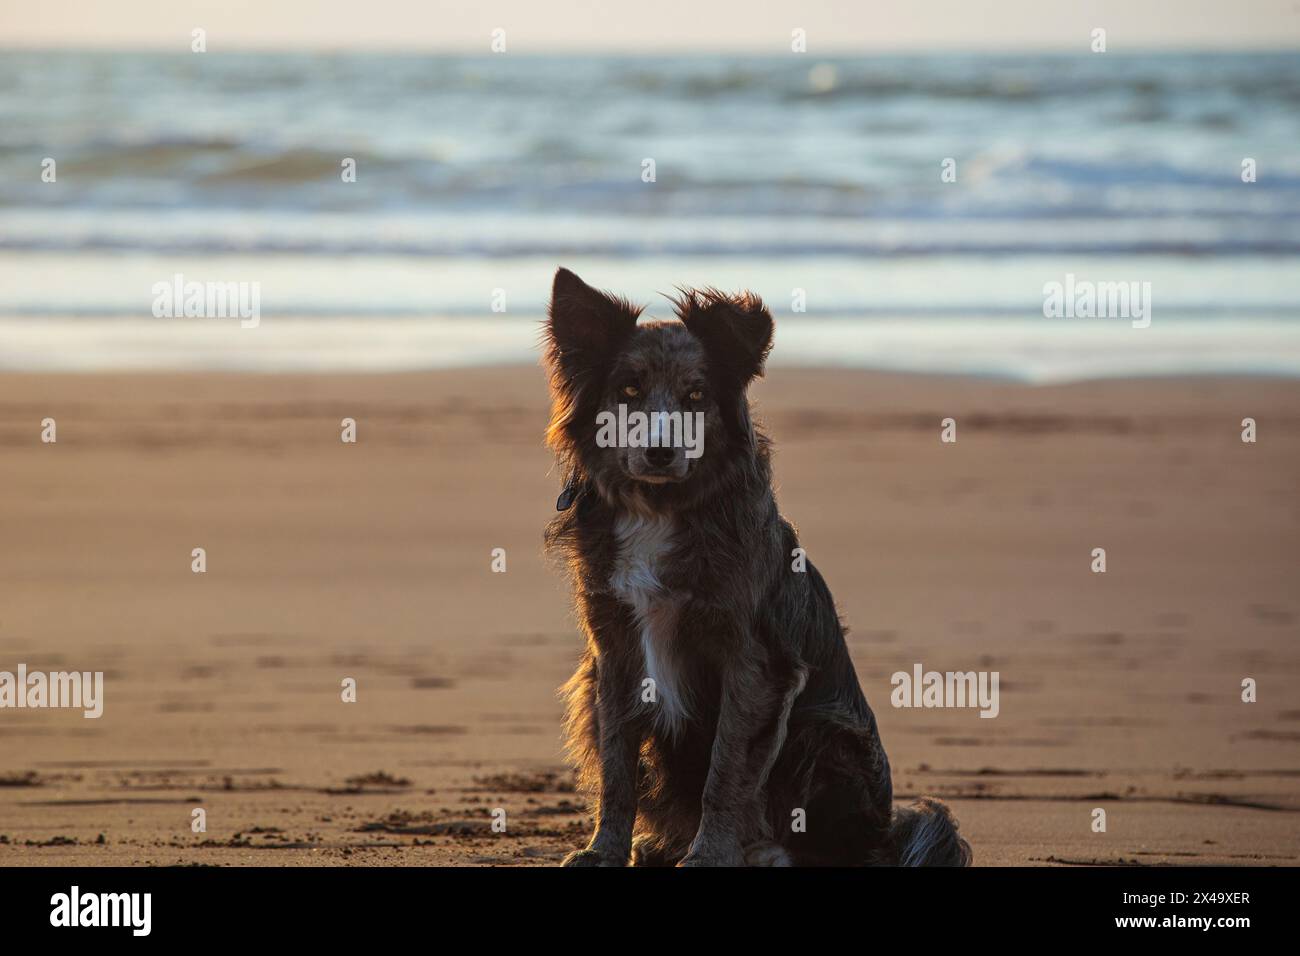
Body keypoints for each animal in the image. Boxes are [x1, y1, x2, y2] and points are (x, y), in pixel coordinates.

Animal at [543, 269, 972, 868]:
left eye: (696, 396)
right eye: (628, 390)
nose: (660, 451)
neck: (660, 509)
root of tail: (885, 832)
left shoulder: (756, 663)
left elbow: (727, 771)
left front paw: (709, 854)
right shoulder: (614, 653)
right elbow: (616, 767)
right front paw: (603, 850)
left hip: (823, 732)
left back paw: (764, 851)